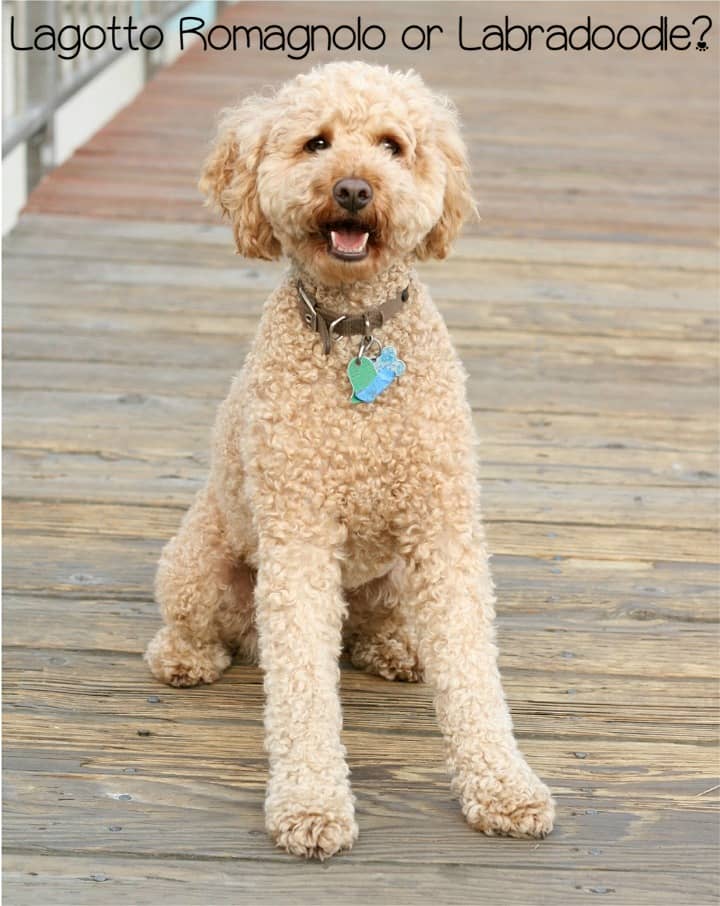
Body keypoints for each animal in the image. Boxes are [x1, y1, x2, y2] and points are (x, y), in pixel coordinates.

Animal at [143, 61, 556, 856]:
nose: (355, 189)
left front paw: (504, 785)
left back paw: (395, 649)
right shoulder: (298, 539)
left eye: (393, 145)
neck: (354, 327)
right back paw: (186, 658)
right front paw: (311, 805)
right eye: (317, 143)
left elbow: (473, 671)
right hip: (197, 566)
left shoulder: (443, 531)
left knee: (372, 627)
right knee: (206, 629)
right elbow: (302, 687)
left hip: (393, 578)